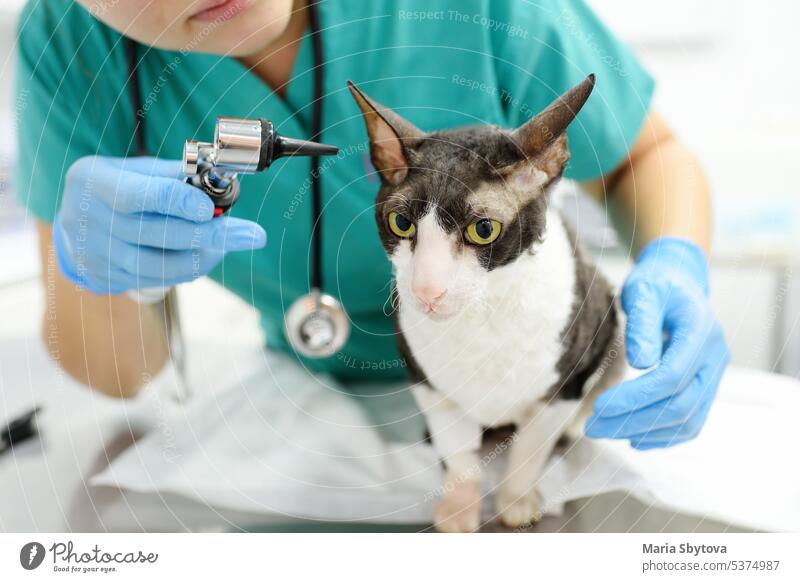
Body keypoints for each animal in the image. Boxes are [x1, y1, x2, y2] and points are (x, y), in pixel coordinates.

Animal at [346, 76, 620, 532]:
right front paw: (460, 510)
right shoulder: (429, 386)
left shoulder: (568, 379)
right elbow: (460, 455)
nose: (427, 291)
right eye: (400, 223)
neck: (483, 316)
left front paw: (518, 501)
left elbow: (530, 449)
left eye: (483, 229)